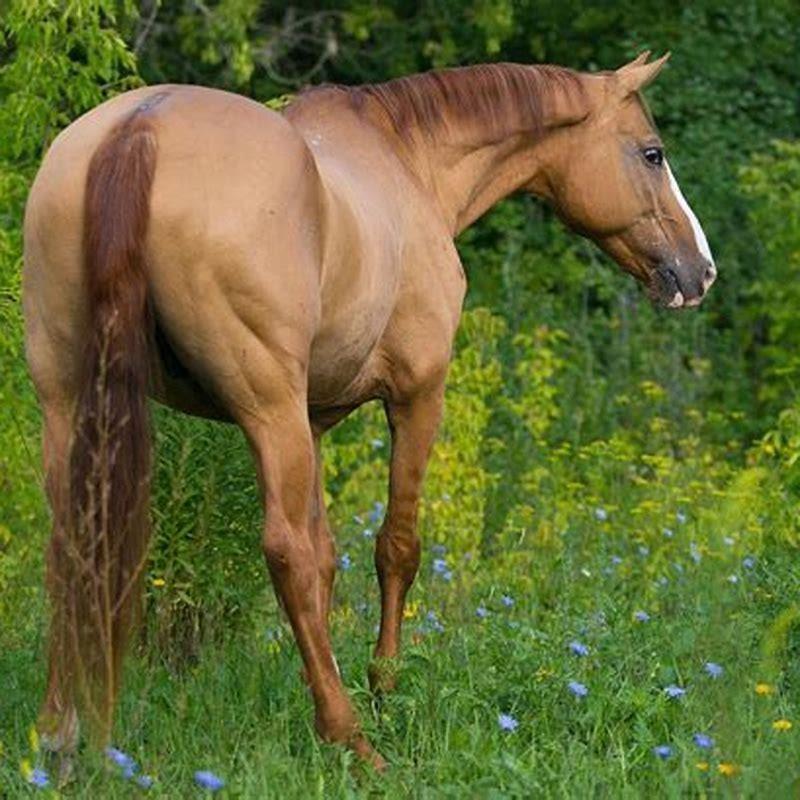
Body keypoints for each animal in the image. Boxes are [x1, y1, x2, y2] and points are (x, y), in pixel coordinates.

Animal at [23, 51, 716, 770]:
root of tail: (140, 127)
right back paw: (350, 736)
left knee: (72, 541)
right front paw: (383, 688)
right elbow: (393, 549)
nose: (700, 271)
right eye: (652, 153)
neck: (408, 160)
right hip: (265, 409)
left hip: (71, 401)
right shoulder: (416, 394)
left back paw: (59, 735)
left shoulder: (312, 420)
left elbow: (329, 560)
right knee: (285, 552)